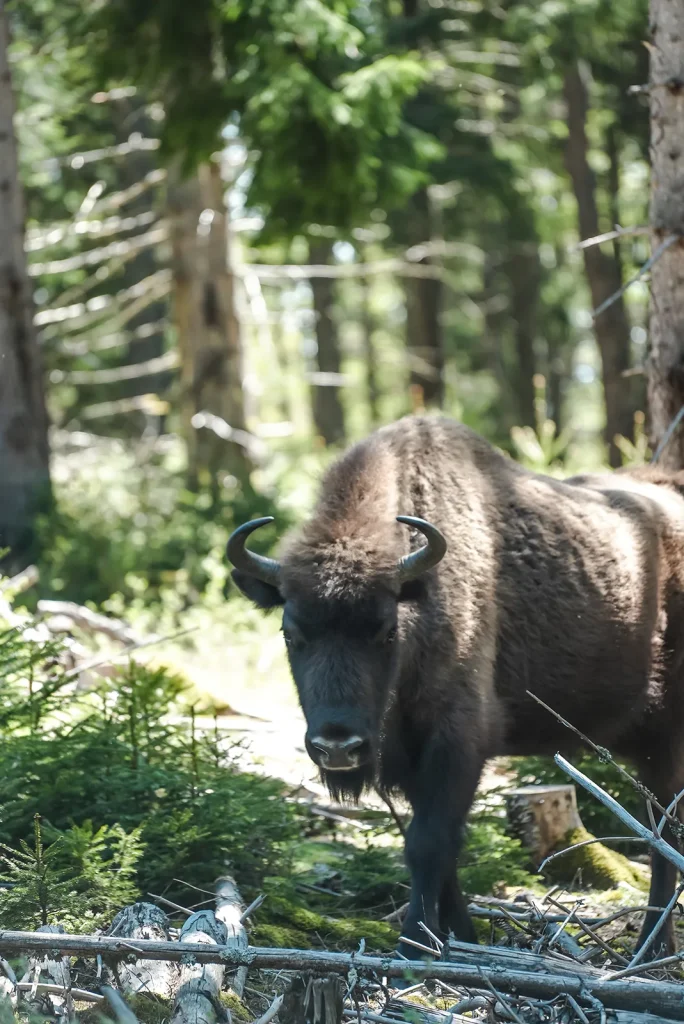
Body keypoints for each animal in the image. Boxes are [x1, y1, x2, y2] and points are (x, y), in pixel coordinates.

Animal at [227, 414, 684, 959]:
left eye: (386, 631)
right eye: (291, 634)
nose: (338, 746)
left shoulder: (459, 743)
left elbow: (427, 842)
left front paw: (414, 944)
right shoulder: (408, 761)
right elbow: (441, 850)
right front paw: (460, 936)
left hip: (664, 741)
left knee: (662, 836)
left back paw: (654, 946)